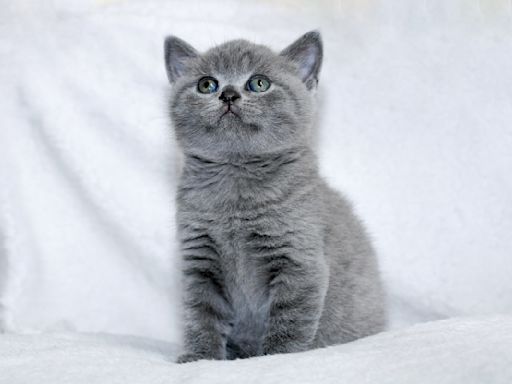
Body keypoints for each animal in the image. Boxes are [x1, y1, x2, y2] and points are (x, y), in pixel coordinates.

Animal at [166, 30, 386, 364]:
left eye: (259, 83)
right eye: (207, 84)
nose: (228, 94)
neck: (236, 185)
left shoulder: (298, 259)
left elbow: (289, 319)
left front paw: (276, 359)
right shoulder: (200, 261)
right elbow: (200, 315)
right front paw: (200, 357)